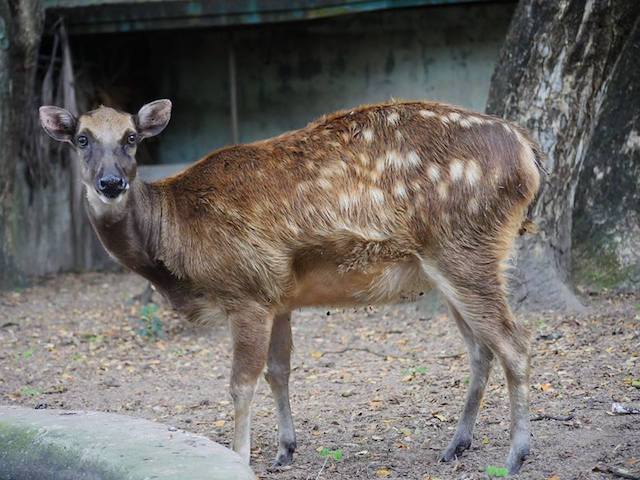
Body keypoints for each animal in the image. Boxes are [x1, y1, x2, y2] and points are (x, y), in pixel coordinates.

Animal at [38, 99, 540, 474]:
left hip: (465, 249)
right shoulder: (277, 296)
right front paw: (284, 450)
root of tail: (529, 155)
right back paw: (457, 445)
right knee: (481, 349)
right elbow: (278, 371)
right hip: (447, 266)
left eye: (131, 138)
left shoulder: (245, 290)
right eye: (82, 138)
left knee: (514, 342)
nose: (110, 182)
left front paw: (240, 457)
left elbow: (241, 382)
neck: (174, 242)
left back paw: (515, 455)